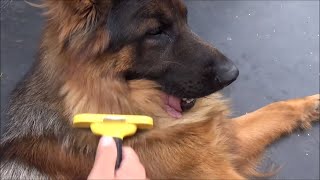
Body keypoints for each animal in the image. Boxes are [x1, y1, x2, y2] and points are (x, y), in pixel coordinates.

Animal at [0, 0, 320, 179]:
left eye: (185, 18)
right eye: (156, 32)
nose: (233, 74)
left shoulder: (221, 142)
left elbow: (276, 108)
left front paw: (312, 103)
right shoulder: (216, 171)